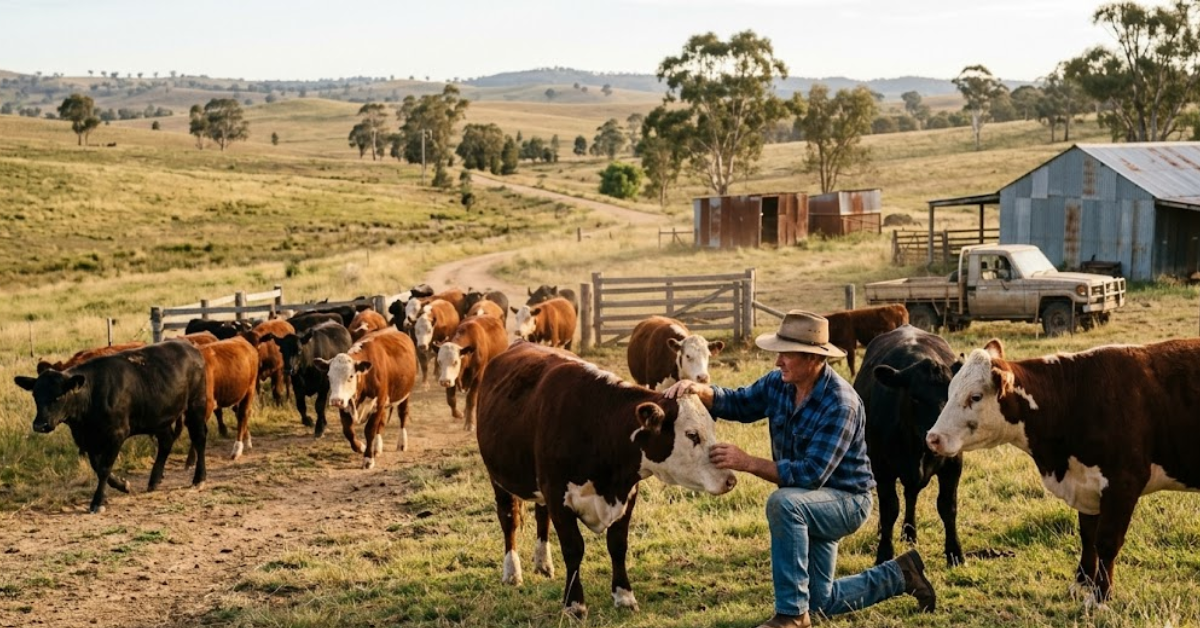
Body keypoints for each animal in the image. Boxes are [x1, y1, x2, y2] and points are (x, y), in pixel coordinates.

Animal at [14, 341, 209, 514]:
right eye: (35, 395)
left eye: (58, 396)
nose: (40, 425)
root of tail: (191, 347)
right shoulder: (88, 438)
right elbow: (97, 466)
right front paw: (122, 485)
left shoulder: (117, 434)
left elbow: (105, 468)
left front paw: (98, 501)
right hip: (159, 417)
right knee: (166, 442)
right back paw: (154, 480)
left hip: (196, 405)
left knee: (199, 438)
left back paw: (199, 478)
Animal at [316, 328, 418, 468]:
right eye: (329, 376)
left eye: (351, 376)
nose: (336, 400)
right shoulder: (346, 404)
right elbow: (348, 431)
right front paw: (361, 447)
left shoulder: (377, 404)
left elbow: (369, 430)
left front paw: (368, 459)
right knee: (381, 423)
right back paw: (377, 448)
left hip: (405, 394)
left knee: (403, 415)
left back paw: (401, 443)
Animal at [475, 341, 737, 618]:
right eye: (691, 434)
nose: (730, 479)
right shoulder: (557, 495)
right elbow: (573, 548)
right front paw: (574, 604)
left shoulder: (627, 494)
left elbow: (618, 545)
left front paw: (624, 596)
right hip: (498, 478)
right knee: (509, 520)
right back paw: (512, 572)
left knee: (540, 515)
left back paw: (543, 563)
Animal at [853, 325, 964, 567]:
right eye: (915, 398)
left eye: (954, 396)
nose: (942, 436)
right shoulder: (882, 468)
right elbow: (889, 508)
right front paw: (884, 553)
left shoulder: (953, 465)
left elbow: (947, 506)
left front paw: (955, 553)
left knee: (911, 495)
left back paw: (909, 532)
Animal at [926, 338, 1200, 606]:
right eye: (950, 391)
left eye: (975, 396)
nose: (933, 438)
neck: (1074, 398)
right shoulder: (1086, 484)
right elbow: (1088, 537)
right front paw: (1081, 584)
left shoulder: (1123, 483)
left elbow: (1107, 542)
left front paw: (1100, 597)